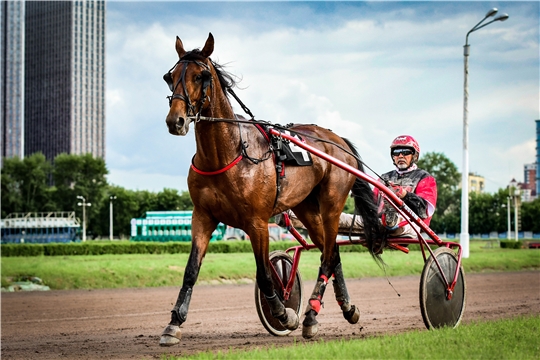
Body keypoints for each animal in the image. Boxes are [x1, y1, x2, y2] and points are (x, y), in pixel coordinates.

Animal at [158, 33, 382, 346]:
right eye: (170, 77)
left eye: (200, 76)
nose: (175, 121)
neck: (229, 153)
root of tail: (338, 140)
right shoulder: (202, 216)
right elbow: (190, 271)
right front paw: (173, 324)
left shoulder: (257, 222)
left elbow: (265, 274)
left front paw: (284, 314)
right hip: (306, 208)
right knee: (333, 253)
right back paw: (346, 309)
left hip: (332, 204)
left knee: (328, 255)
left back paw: (310, 317)